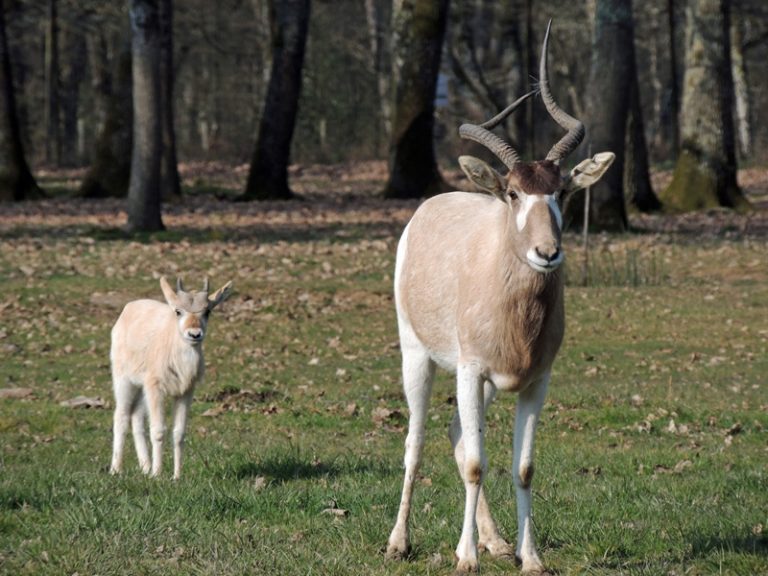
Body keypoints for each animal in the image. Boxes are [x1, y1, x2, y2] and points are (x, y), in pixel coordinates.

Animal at [388, 21, 616, 572]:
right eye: (514, 192)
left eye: (563, 191)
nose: (547, 252)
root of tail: (428, 207)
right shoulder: (471, 371)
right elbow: (475, 463)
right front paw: (465, 557)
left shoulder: (535, 380)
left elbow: (523, 467)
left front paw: (528, 556)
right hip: (418, 356)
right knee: (417, 439)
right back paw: (400, 542)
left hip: (485, 382)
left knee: (455, 432)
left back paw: (494, 540)